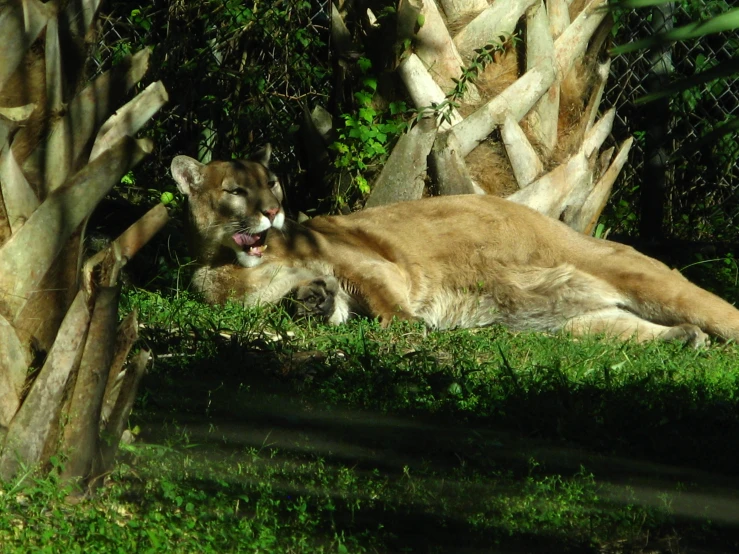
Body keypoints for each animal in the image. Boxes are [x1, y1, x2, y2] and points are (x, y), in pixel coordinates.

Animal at [171, 151, 739, 344]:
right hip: (566, 321)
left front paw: (410, 326)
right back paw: (683, 340)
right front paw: (311, 299)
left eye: (273, 185)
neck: (236, 265)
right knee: (620, 328)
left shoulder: (372, 264)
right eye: (237, 190)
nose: (271, 211)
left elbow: (384, 299)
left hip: (632, 274)